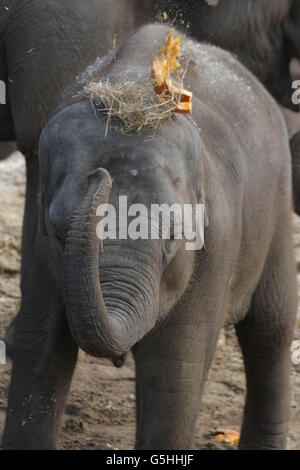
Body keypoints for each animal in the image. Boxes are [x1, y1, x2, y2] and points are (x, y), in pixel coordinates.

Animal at [2, 24, 298, 448]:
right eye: (59, 233)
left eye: (173, 238)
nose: (99, 177)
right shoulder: (41, 245)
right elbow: (40, 343)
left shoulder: (216, 241)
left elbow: (174, 366)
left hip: (276, 205)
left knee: (271, 329)